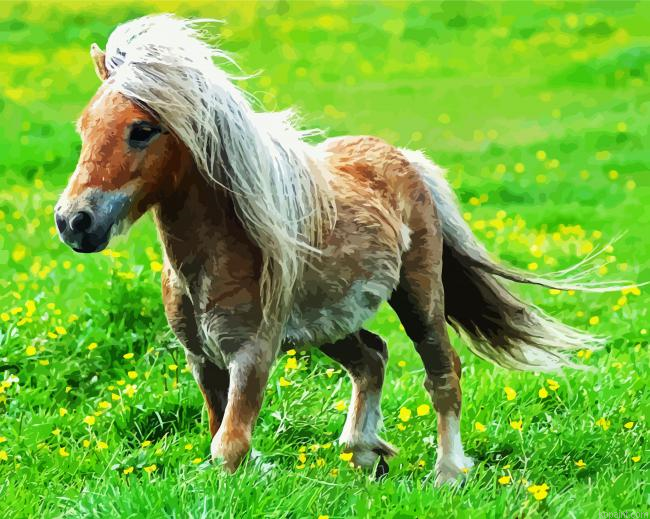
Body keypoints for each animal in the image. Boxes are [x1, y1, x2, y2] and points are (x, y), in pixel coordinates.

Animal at [55, 15, 611, 485]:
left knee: (443, 372)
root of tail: (404, 159)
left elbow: (229, 446)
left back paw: (448, 473)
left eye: (143, 130)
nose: (73, 222)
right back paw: (366, 452)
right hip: (329, 323)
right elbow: (220, 436)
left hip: (419, 297)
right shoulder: (202, 359)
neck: (217, 255)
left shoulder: (252, 354)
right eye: (84, 127)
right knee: (373, 357)